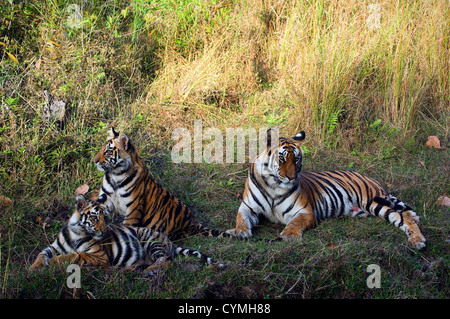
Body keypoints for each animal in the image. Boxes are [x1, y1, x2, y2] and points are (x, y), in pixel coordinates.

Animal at [30, 194, 225, 272]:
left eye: (106, 217)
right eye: (95, 217)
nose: (104, 230)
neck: (76, 232)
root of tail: (170, 241)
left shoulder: (100, 256)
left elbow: (75, 255)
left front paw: (54, 262)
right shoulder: (53, 247)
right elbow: (41, 254)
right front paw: (32, 269)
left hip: (149, 240)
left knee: (166, 261)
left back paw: (149, 270)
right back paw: (134, 267)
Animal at [93, 127, 230, 240]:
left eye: (108, 151)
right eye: (101, 148)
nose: (94, 161)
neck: (116, 175)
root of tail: (193, 223)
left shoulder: (134, 207)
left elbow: (126, 228)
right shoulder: (106, 200)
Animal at [227, 128, 428, 250]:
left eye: (297, 159)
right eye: (282, 158)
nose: (291, 177)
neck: (273, 185)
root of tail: (370, 179)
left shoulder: (306, 211)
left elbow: (295, 223)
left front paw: (289, 235)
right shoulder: (248, 207)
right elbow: (241, 219)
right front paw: (238, 232)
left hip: (373, 201)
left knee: (401, 218)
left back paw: (418, 240)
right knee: (402, 214)